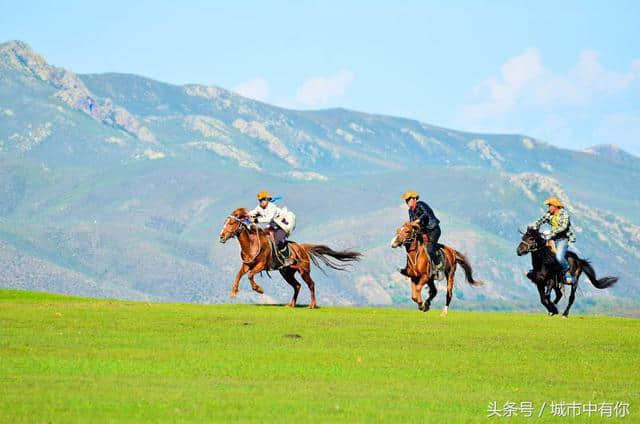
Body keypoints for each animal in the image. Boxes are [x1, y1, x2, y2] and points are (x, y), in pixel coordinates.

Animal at [219, 208, 360, 308]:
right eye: (225, 222)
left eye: (232, 223)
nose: (221, 236)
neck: (251, 244)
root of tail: (302, 247)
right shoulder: (246, 265)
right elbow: (238, 275)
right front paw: (234, 292)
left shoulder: (261, 265)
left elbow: (250, 275)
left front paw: (259, 289)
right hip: (287, 272)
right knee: (297, 285)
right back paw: (291, 304)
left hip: (304, 271)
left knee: (311, 284)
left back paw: (312, 305)